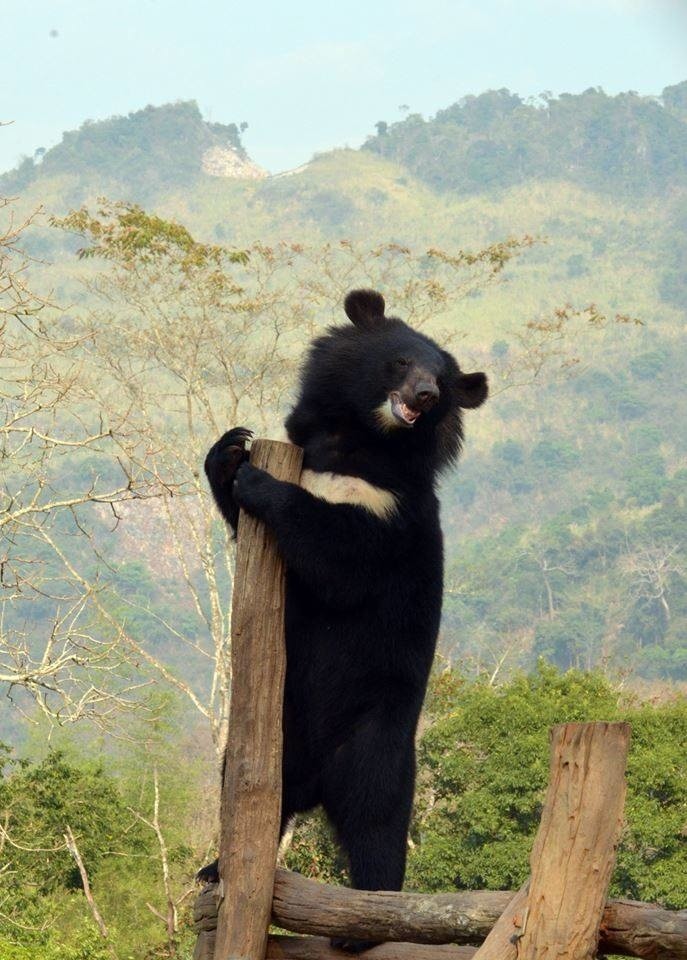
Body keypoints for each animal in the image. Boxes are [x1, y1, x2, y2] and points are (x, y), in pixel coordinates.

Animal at [200, 288, 490, 948]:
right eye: (402, 362)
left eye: (441, 381)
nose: (423, 396)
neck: (355, 440)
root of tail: (313, 781)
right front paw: (231, 447)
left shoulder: (387, 509)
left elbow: (338, 556)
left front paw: (257, 478)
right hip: (267, 740)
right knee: (246, 791)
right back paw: (214, 869)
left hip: (374, 738)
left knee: (376, 821)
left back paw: (364, 921)